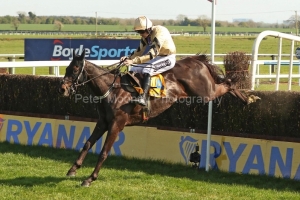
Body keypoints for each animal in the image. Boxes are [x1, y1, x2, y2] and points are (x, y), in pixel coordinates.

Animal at [58, 50, 251, 188]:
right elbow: (87, 144)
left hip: (205, 92)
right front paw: (73, 169)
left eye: (75, 69)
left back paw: (248, 98)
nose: (62, 89)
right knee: (226, 84)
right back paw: (248, 98)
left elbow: (104, 152)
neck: (112, 90)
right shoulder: (103, 122)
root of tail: (196, 60)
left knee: (228, 84)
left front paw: (90, 179)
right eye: (66, 68)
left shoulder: (116, 124)